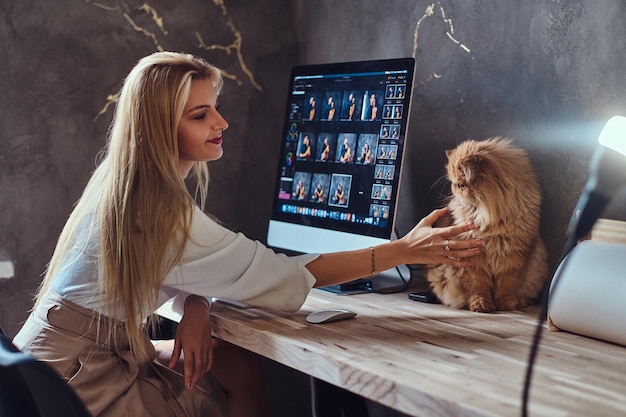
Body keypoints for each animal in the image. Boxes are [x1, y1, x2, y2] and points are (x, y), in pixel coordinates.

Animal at [424, 137, 544, 312]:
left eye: (461, 185)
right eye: (454, 183)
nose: (454, 189)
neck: (491, 221)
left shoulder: (513, 256)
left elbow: (507, 286)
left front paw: (505, 304)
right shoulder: (472, 258)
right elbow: (477, 287)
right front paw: (481, 305)